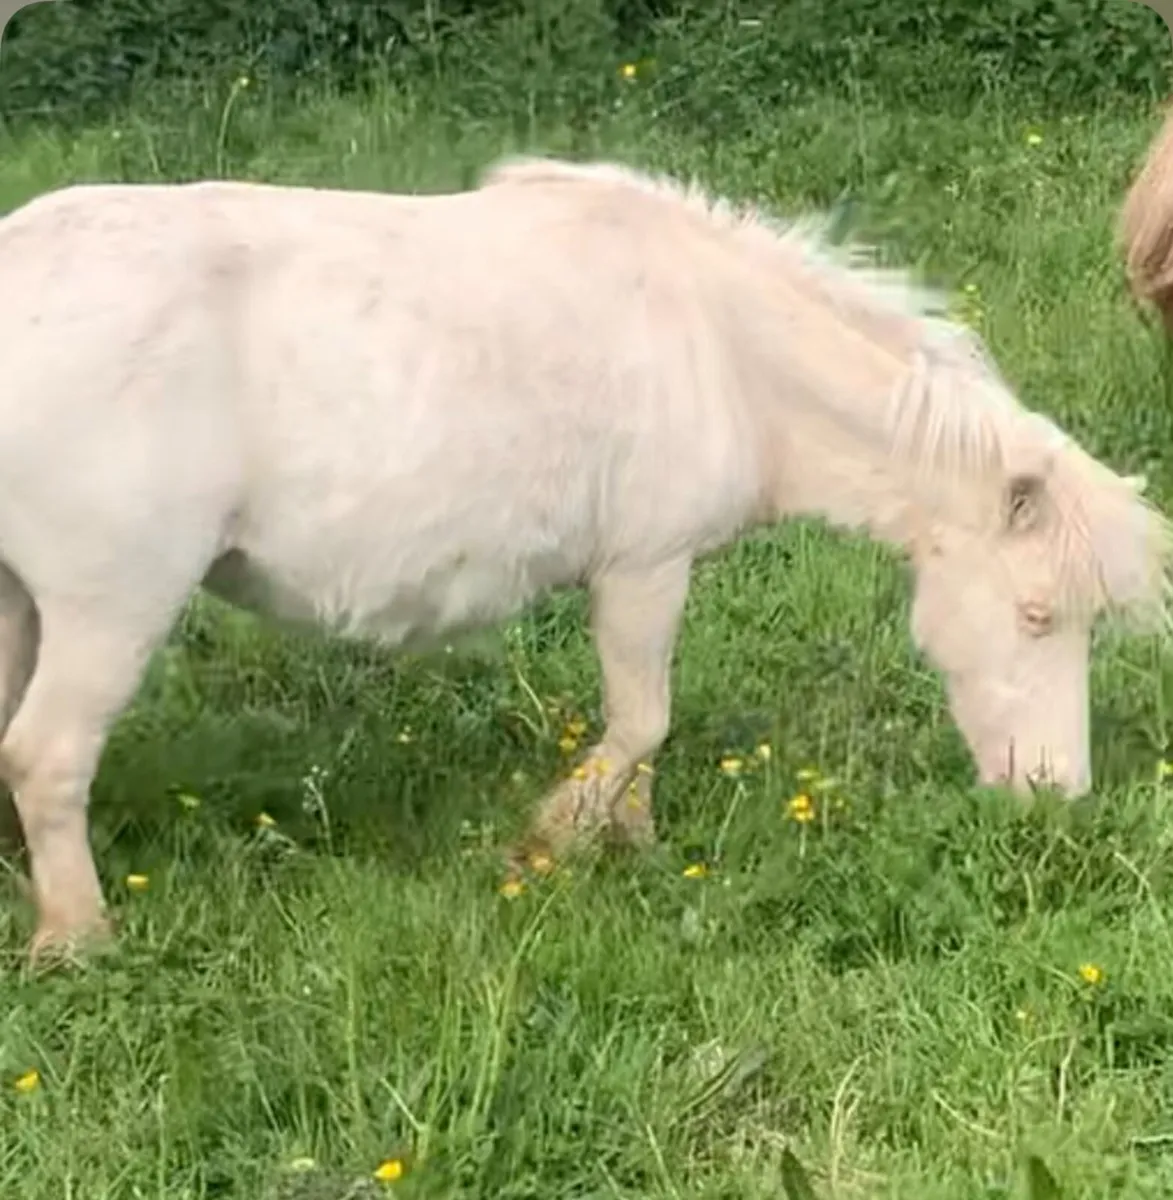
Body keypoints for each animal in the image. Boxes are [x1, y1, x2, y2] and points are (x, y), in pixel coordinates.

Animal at [0, 154, 1168, 961]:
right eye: (1034, 616)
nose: (1056, 800)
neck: (726, 347)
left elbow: (639, 735)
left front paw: (631, 850)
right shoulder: (645, 566)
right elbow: (641, 722)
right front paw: (557, 839)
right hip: (110, 609)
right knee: (46, 757)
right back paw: (80, 944)